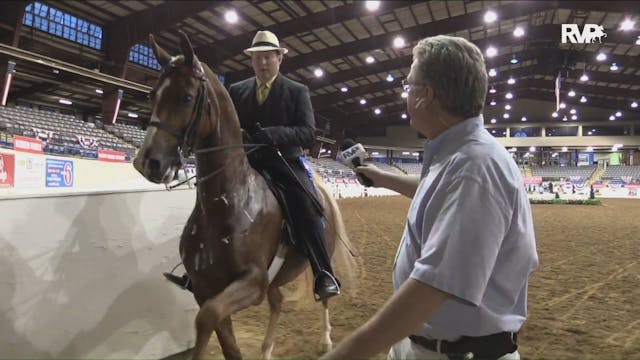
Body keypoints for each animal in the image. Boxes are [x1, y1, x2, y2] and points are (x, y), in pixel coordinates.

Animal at [133, 32, 358, 358]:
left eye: (186, 97)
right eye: (152, 95)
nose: (147, 162)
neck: (230, 202)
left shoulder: (252, 282)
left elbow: (207, 318)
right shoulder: (206, 288)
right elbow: (224, 338)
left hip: (319, 258)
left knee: (326, 291)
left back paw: (326, 338)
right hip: (276, 277)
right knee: (277, 300)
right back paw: (266, 349)